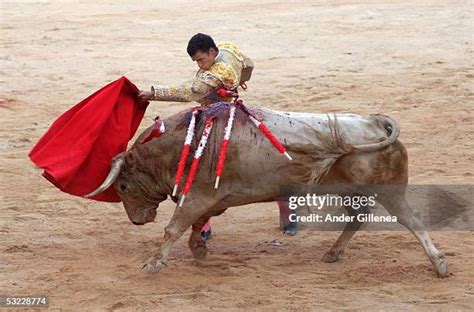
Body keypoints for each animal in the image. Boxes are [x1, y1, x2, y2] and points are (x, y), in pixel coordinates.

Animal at [84, 105, 448, 278]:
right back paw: (332, 253)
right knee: (358, 218)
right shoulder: (211, 199)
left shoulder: (197, 196)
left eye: (123, 186)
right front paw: (199, 250)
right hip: (349, 190)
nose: (137, 220)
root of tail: (376, 123)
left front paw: (153, 264)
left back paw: (439, 264)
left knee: (412, 220)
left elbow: (174, 227)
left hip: (390, 192)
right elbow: (195, 225)